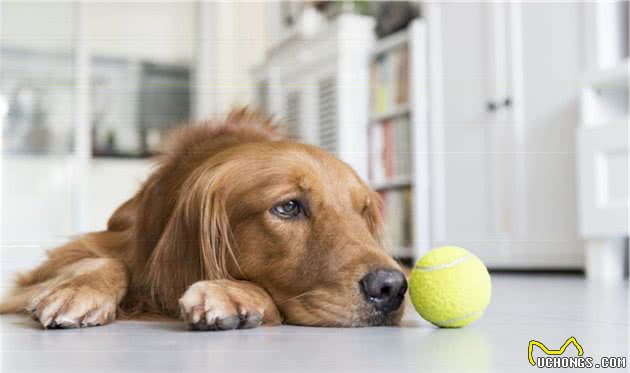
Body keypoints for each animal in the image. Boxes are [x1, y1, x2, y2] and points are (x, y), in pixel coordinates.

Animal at [0, 107, 408, 328]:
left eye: (363, 213)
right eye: (288, 207)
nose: (392, 287)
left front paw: (233, 292)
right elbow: (103, 262)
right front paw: (79, 290)